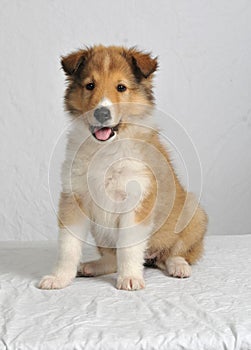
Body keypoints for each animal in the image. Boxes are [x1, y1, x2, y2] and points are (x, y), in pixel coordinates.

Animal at [39, 45, 208, 292]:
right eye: (90, 85)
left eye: (121, 87)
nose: (102, 113)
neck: (107, 148)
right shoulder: (74, 198)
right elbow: (68, 246)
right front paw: (59, 278)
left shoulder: (137, 201)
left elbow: (128, 246)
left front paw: (130, 278)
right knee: (112, 258)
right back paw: (91, 267)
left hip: (193, 215)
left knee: (175, 253)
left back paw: (179, 267)